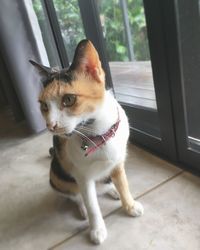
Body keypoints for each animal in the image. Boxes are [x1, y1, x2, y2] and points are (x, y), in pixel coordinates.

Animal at [29, 39, 143, 244]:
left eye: (68, 99)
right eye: (43, 106)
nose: (51, 126)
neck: (99, 134)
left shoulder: (118, 163)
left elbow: (123, 184)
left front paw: (129, 205)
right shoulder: (82, 176)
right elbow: (92, 205)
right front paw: (97, 229)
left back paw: (111, 190)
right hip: (56, 176)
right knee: (76, 196)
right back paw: (82, 208)